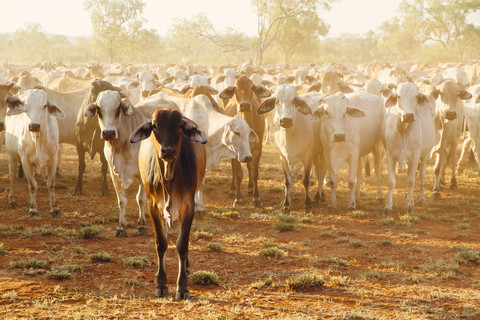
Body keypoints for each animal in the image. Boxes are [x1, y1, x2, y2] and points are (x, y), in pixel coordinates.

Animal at [130, 108, 207, 300]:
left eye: (179, 126)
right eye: (155, 125)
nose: (168, 150)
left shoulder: (189, 206)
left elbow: (182, 245)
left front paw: (182, 287)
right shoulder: (153, 206)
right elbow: (161, 243)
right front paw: (161, 283)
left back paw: (186, 267)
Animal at [220, 75, 272, 208]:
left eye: (252, 88)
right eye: (235, 89)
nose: (244, 105)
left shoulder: (258, 149)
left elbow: (254, 172)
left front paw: (256, 197)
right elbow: (238, 173)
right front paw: (238, 198)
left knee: (249, 166)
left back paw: (250, 187)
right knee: (233, 168)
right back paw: (233, 189)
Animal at [382, 82, 438, 212]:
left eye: (416, 96)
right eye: (398, 96)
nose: (408, 116)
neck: (403, 130)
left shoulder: (415, 155)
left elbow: (411, 181)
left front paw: (410, 205)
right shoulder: (389, 154)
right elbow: (391, 181)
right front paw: (388, 206)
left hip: (424, 155)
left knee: (421, 175)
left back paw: (420, 198)